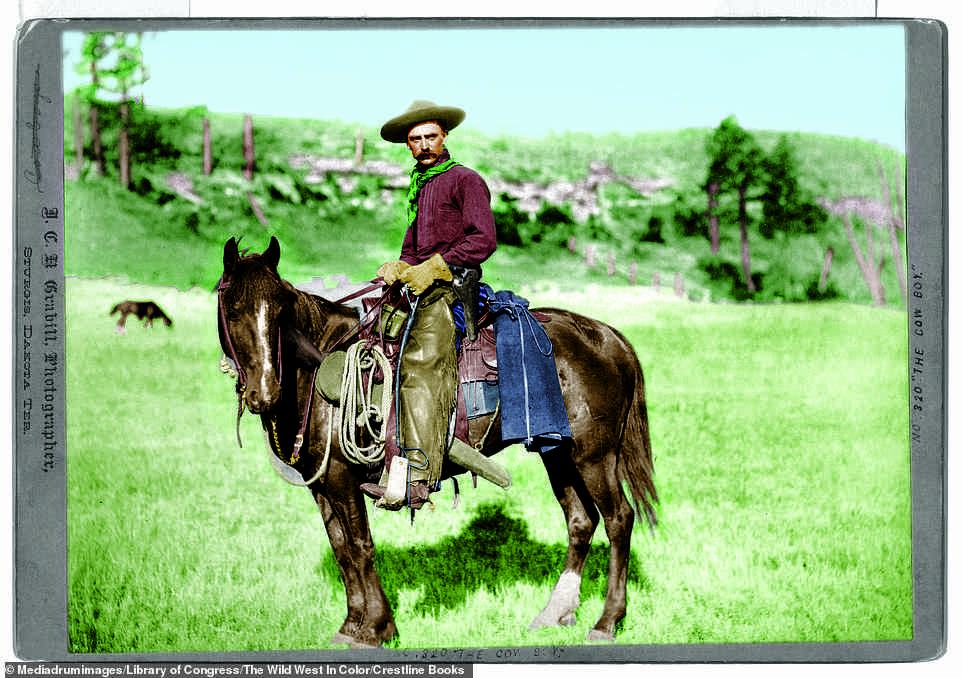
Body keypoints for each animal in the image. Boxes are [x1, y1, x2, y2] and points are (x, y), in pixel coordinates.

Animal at [215, 238, 656, 648]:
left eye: (279, 311)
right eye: (232, 309)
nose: (264, 393)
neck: (317, 366)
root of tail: (608, 338)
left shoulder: (342, 480)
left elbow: (360, 547)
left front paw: (376, 628)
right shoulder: (323, 485)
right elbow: (342, 550)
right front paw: (352, 624)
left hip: (595, 455)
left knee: (619, 519)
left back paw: (607, 622)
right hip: (559, 453)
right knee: (581, 520)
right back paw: (555, 613)